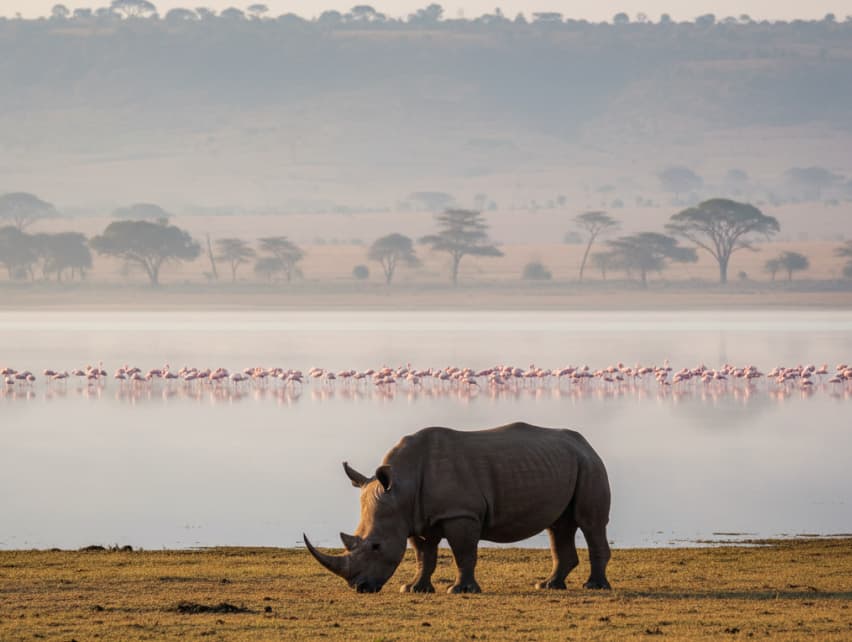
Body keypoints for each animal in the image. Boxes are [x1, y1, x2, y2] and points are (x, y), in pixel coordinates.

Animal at [303, 422, 612, 594]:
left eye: (376, 546)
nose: (360, 588)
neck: (402, 485)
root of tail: (585, 443)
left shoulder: (461, 514)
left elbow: (463, 553)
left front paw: (460, 590)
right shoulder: (415, 518)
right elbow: (423, 556)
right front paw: (414, 589)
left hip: (590, 465)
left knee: (590, 523)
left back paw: (594, 586)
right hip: (566, 462)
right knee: (558, 526)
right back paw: (548, 585)